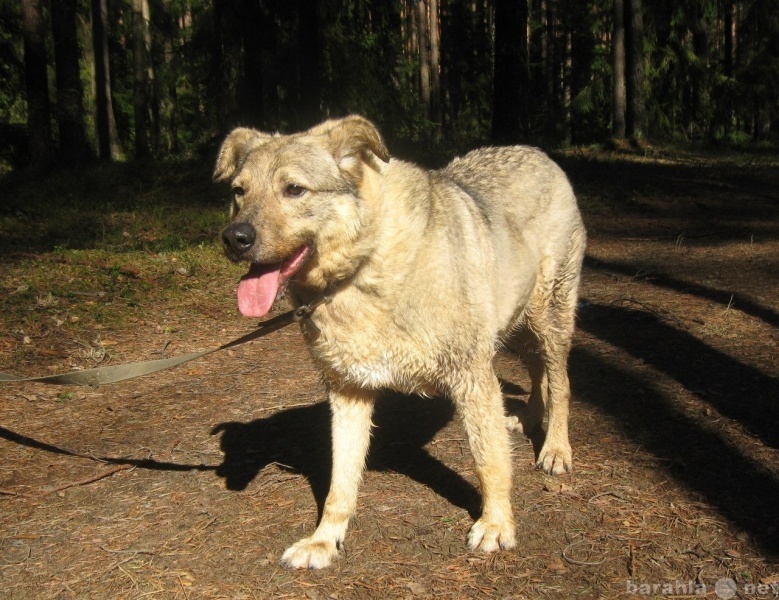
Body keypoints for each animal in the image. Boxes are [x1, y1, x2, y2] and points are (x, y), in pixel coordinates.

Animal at [213, 116, 584, 568]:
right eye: (239, 191)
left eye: (294, 189)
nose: (234, 238)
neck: (362, 267)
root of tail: (537, 152)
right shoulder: (348, 391)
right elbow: (339, 484)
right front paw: (324, 540)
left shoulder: (472, 376)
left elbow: (489, 461)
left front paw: (497, 524)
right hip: (514, 327)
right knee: (536, 372)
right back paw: (529, 418)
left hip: (549, 318)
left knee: (560, 381)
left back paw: (555, 449)